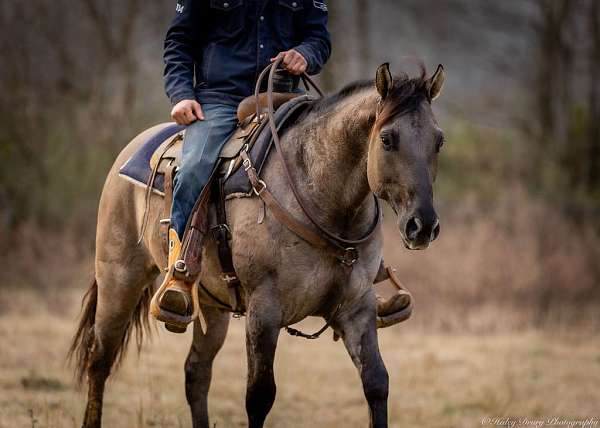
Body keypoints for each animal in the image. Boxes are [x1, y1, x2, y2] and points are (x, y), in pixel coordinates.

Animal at [69, 62, 446, 428]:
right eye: (387, 139)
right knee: (100, 359)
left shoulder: (357, 307)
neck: (321, 195)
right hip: (120, 278)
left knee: (196, 373)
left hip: (212, 304)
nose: (423, 226)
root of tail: (132, 149)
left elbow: (376, 383)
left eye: (438, 141)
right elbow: (260, 396)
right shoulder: (264, 310)